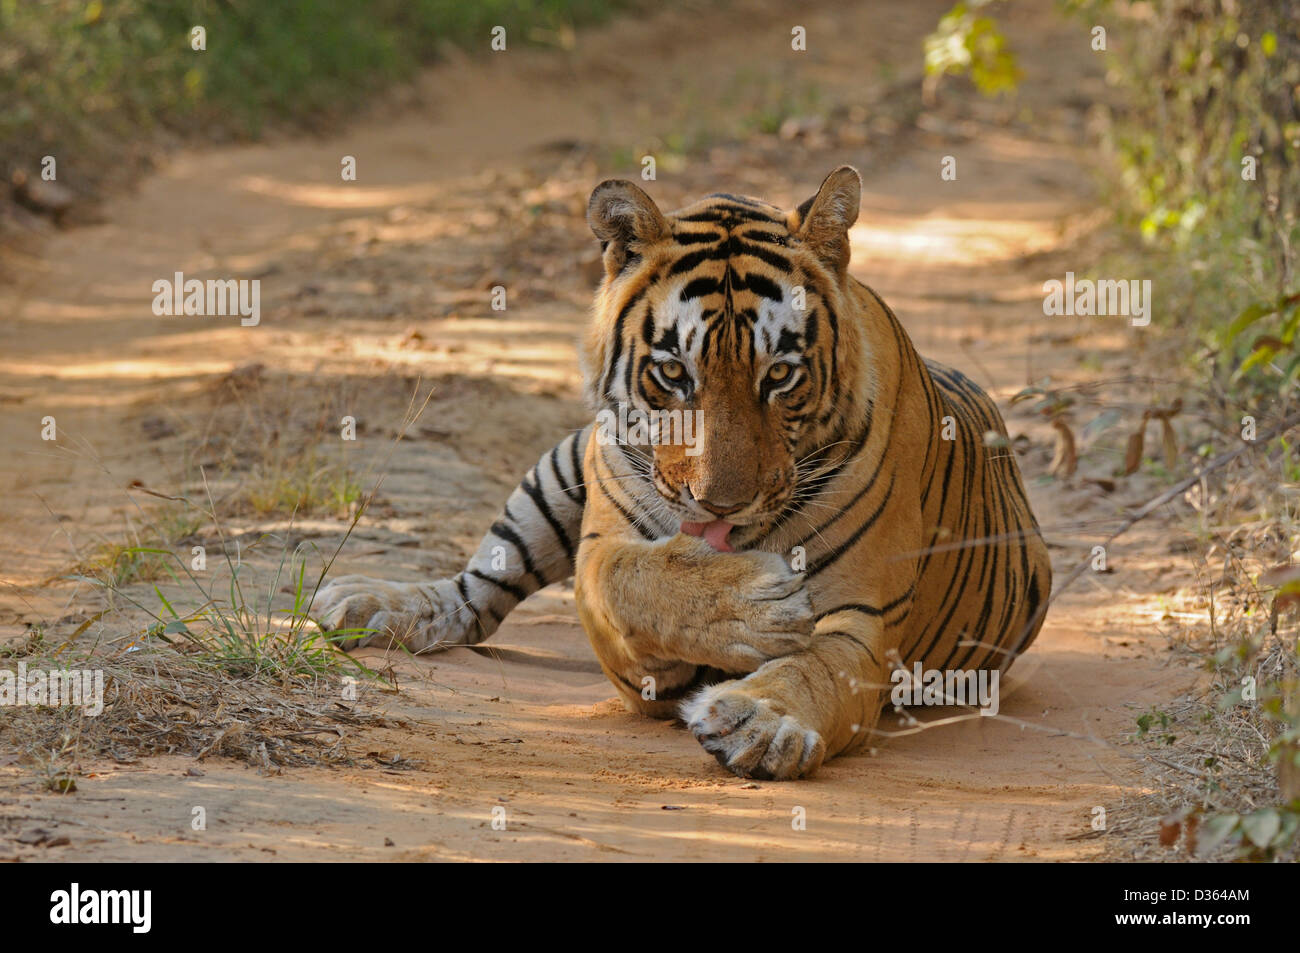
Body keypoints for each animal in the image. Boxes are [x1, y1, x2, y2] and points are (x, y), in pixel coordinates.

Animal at [317, 169, 1055, 780]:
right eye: (674, 373)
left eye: (779, 375)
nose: (722, 504)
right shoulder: (605, 557)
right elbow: (632, 576)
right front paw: (752, 608)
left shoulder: (863, 623)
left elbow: (813, 668)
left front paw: (760, 720)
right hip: (560, 467)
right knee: (478, 586)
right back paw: (367, 604)